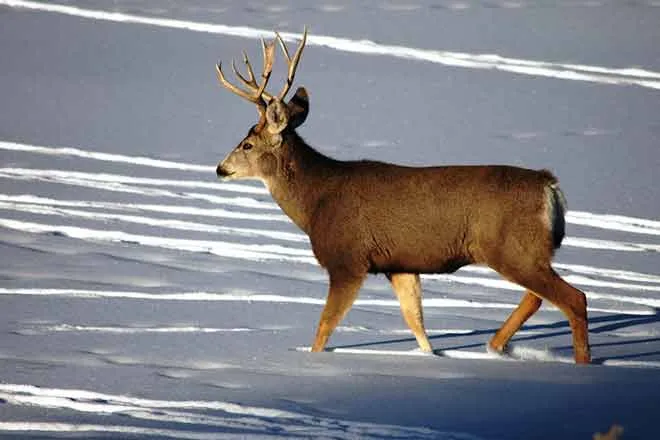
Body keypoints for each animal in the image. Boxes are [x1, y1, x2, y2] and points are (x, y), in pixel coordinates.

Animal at [214, 28, 591, 364]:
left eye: (247, 144)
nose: (220, 168)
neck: (317, 201)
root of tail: (548, 185)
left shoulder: (348, 259)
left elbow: (324, 327)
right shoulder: (399, 264)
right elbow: (417, 323)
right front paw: (429, 358)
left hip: (511, 247)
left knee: (574, 298)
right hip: (524, 251)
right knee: (539, 297)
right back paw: (496, 347)